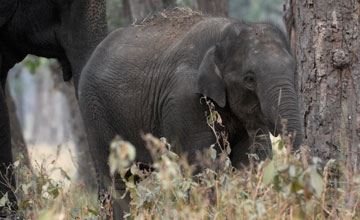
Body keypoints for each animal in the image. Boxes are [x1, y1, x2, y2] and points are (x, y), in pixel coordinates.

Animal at [79, 11, 304, 217]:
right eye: (250, 79)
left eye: (295, 71)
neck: (226, 33)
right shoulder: (185, 102)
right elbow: (202, 169)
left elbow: (253, 159)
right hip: (95, 111)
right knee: (117, 179)